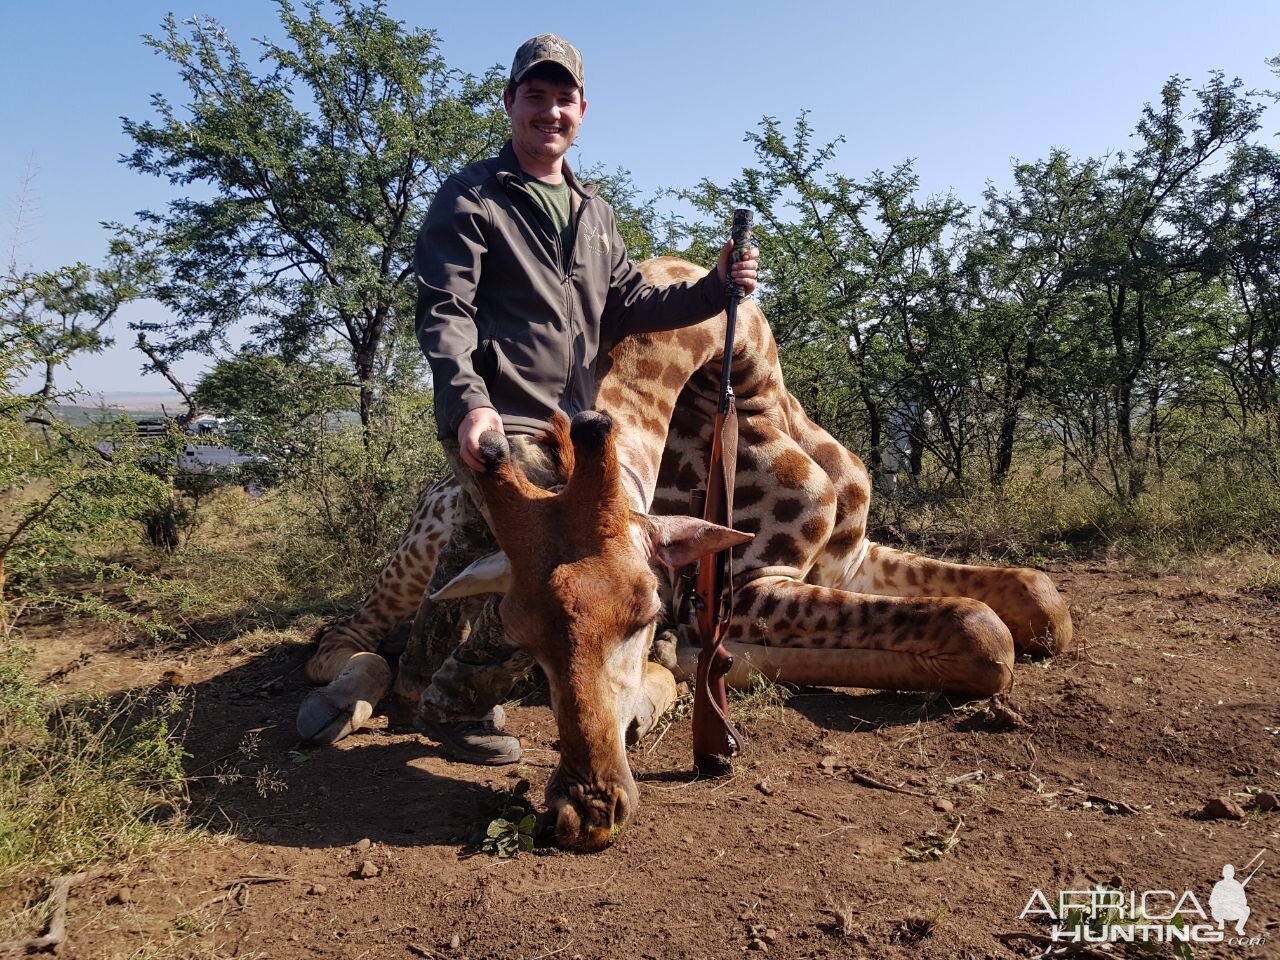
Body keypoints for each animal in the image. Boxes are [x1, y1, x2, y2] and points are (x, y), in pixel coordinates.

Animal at [294, 256, 1075, 849]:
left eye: (642, 613)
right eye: (518, 636)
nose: (583, 814)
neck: (759, 393)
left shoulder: (850, 557)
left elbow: (1036, 599)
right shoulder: (749, 585)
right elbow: (982, 630)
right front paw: (712, 670)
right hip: (418, 560)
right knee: (345, 642)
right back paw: (334, 711)